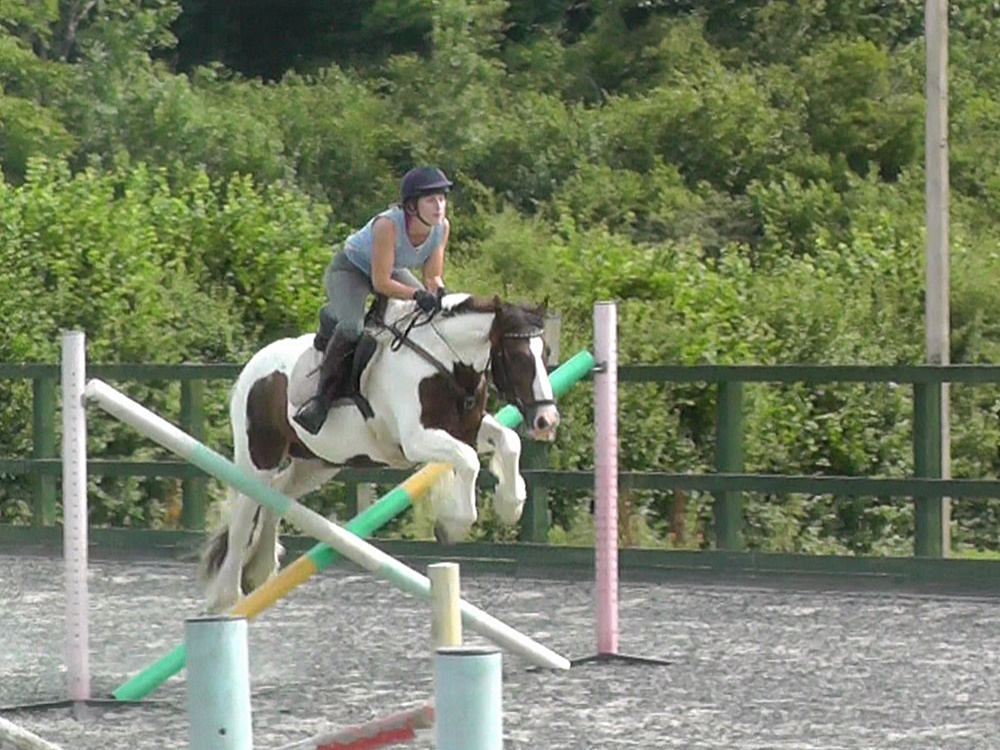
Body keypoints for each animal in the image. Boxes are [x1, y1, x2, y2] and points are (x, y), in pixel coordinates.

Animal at [199, 292, 561, 612]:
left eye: (545, 355)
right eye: (518, 358)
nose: (547, 421)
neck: (445, 365)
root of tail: (251, 368)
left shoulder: (467, 430)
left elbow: (508, 441)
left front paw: (511, 505)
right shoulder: (417, 439)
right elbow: (469, 460)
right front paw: (453, 525)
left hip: (318, 462)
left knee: (278, 493)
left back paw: (259, 570)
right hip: (258, 458)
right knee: (245, 513)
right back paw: (226, 595)